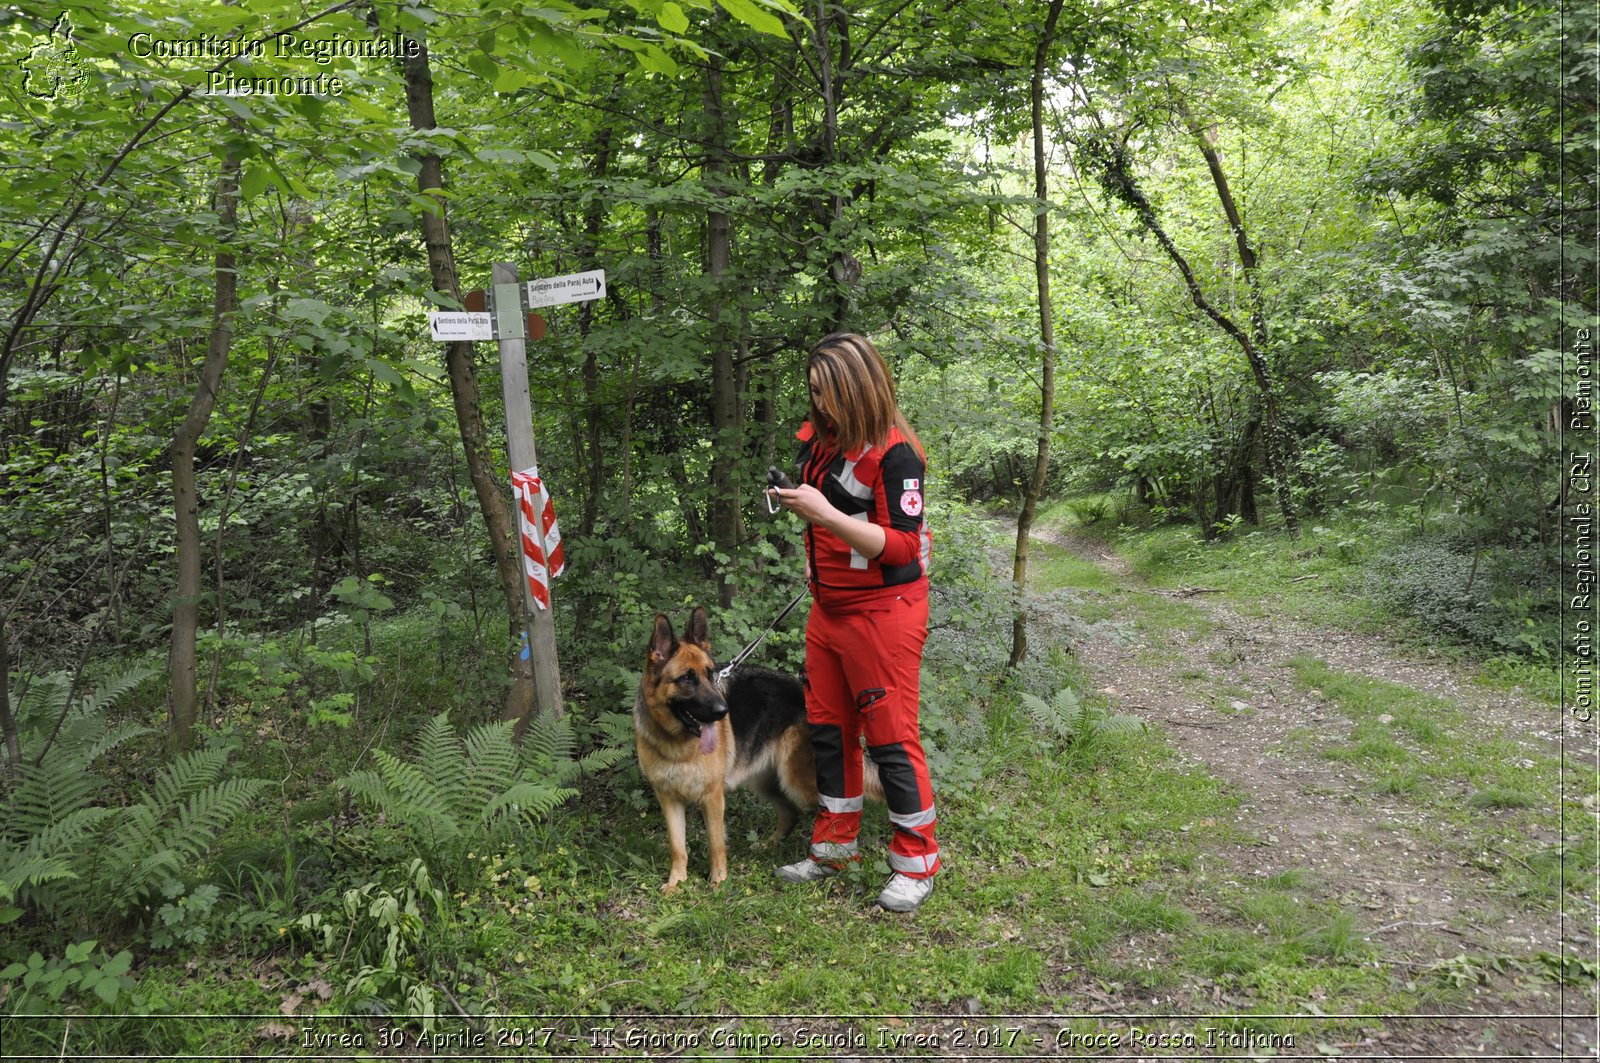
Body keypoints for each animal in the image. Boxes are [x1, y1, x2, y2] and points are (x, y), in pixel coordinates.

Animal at [630, 605, 883, 890]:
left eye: (710, 674)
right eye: (686, 678)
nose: (723, 711)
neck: (677, 745)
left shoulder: (712, 797)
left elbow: (715, 843)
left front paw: (718, 882)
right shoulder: (668, 799)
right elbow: (677, 846)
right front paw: (676, 882)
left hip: (799, 781)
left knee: (842, 809)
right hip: (767, 782)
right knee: (792, 812)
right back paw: (770, 846)